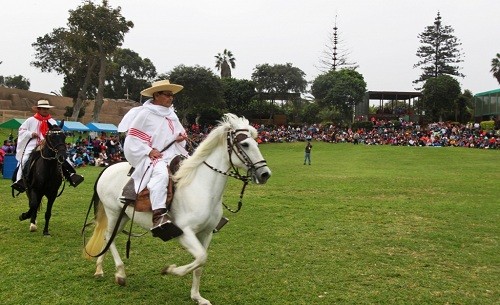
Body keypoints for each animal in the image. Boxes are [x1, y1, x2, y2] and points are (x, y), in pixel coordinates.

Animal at [84, 113, 272, 304]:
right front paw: (170, 270)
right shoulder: (184, 232)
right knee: (109, 237)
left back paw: (100, 269)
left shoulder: (206, 233)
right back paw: (120, 274)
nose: (265, 174)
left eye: (256, 143)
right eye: (245, 144)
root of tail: (107, 168)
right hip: (113, 212)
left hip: (124, 216)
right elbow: (201, 258)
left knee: (107, 237)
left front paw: (197, 296)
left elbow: (200, 264)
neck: (201, 187)